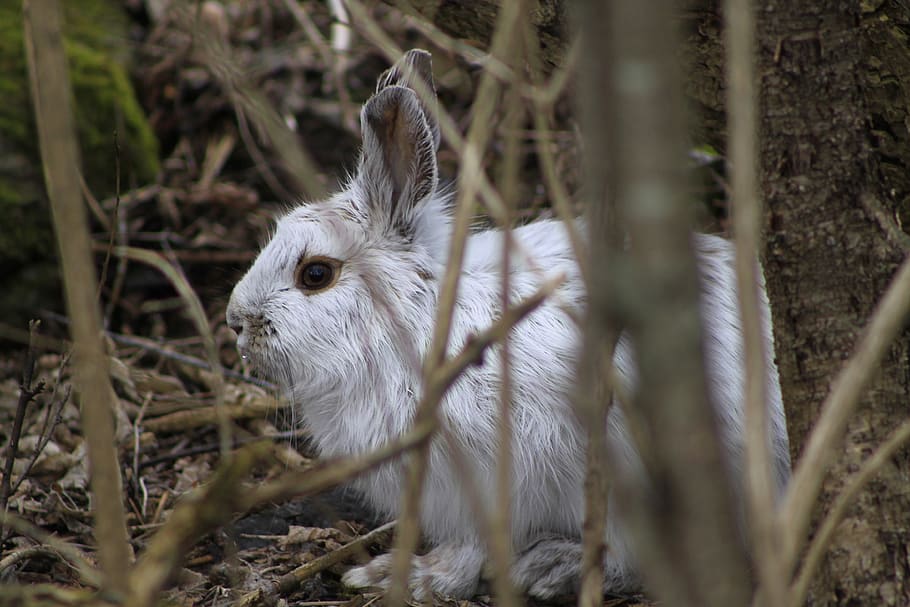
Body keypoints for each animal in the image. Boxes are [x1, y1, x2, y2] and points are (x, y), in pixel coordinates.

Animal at [226, 49, 791, 600]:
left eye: (315, 274)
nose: (235, 322)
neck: (413, 317)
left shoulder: (491, 479)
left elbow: (473, 548)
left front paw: (415, 577)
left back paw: (549, 567)